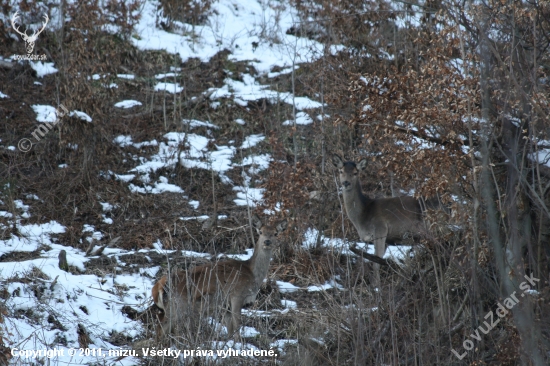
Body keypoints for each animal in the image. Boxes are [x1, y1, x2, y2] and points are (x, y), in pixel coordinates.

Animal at [152, 214, 288, 338]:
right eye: (260, 232)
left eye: (276, 233)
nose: (267, 241)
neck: (252, 274)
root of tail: (157, 287)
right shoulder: (236, 295)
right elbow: (237, 326)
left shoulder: (225, 305)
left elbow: (230, 329)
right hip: (177, 304)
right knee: (161, 327)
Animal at [332, 154, 436, 286]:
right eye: (341, 171)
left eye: (355, 173)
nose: (346, 183)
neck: (363, 215)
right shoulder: (385, 240)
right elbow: (376, 259)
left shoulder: (380, 229)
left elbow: (376, 262)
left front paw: (376, 287)